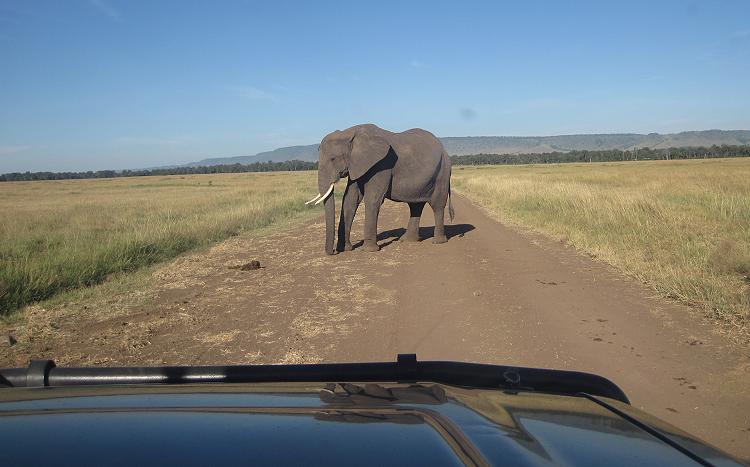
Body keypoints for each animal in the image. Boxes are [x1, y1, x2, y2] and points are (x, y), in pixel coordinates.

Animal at [304, 124, 452, 256]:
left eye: (333, 159)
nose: (333, 252)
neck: (350, 133)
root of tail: (444, 149)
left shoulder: (382, 164)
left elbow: (373, 199)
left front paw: (369, 250)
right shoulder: (357, 165)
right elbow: (350, 200)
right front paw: (346, 249)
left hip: (442, 173)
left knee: (437, 205)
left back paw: (438, 241)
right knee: (415, 206)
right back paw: (407, 240)